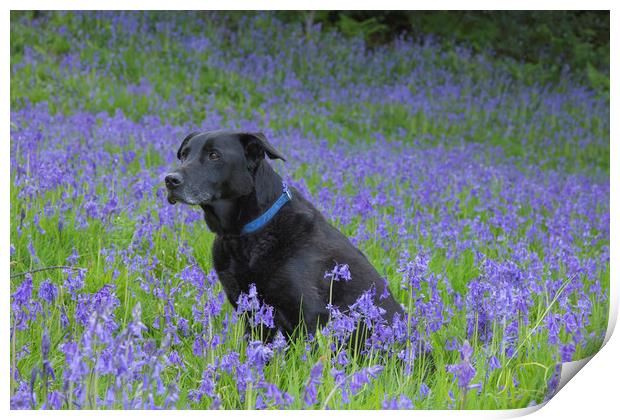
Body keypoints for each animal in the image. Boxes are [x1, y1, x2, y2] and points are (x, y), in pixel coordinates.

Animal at [165, 131, 404, 338]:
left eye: (214, 155)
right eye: (184, 154)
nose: (169, 180)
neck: (242, 236)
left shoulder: (309, 313)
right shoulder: (249, 310)